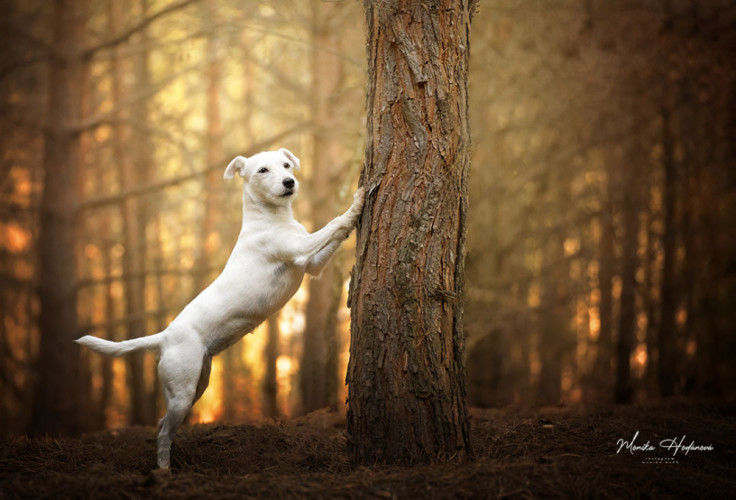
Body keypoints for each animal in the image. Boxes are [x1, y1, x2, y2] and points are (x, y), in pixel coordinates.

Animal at [76, 148, 364, 468]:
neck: (270, 219)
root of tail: (164, 337)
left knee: (163, 423)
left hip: (196, 385)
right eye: (263, 170)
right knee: (163, 433)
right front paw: (358, 201)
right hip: (183, 391)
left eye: (287, 165)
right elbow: (334, 223)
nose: (289, 182)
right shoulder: (300, 250)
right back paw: (164, 469)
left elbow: (335, 236)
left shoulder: (311, 265)